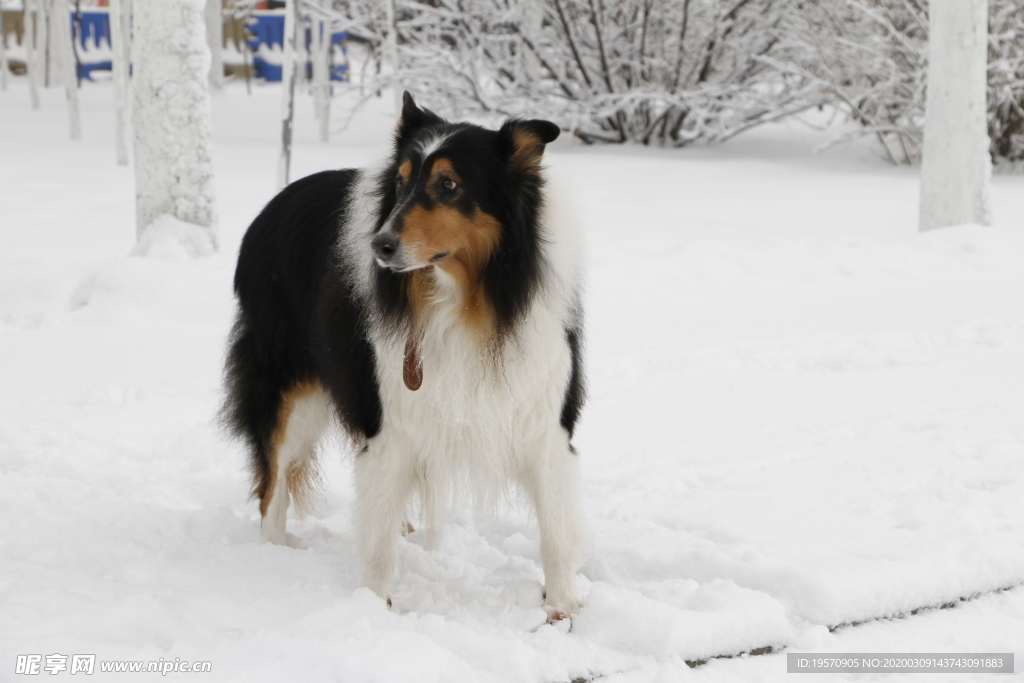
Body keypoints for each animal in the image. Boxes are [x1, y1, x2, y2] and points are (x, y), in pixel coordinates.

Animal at [226, 93, 593, 622]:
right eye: (400, 182)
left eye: (449, 184)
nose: (379, 245)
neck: (463, 301)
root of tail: (275, 203)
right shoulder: (389, 424)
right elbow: (377, 542)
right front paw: (373, 609)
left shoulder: (545, 419)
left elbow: (558, 534)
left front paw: (562, 612)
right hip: (289, 391)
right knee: (272, 487)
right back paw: (274, 556)